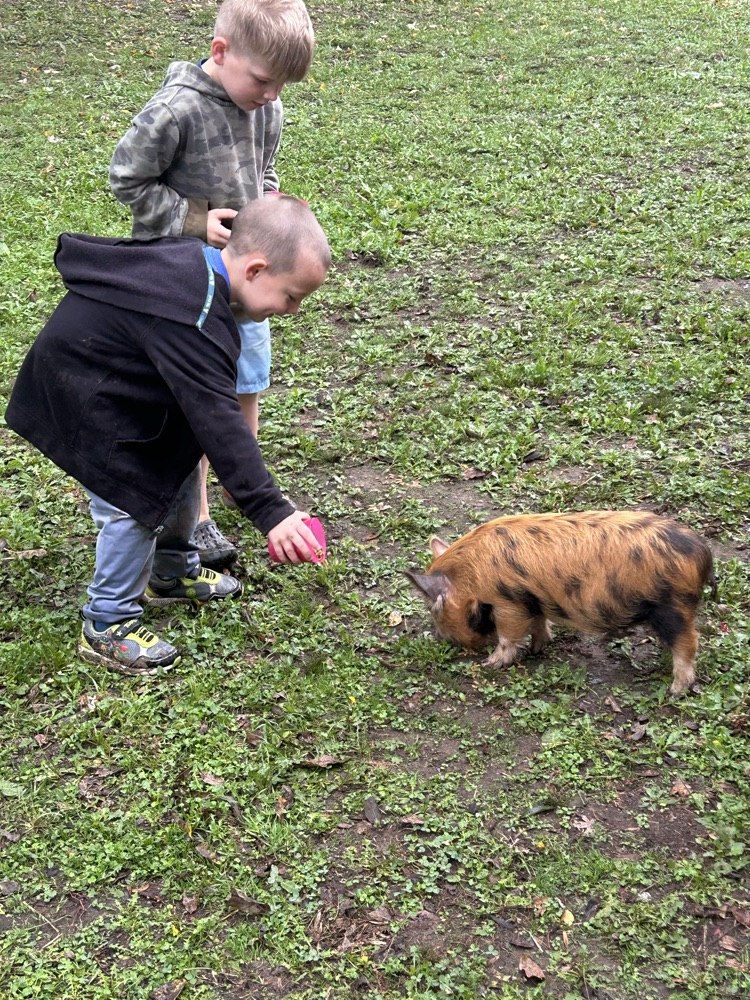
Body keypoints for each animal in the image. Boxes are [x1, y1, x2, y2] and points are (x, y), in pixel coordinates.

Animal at [406, 511, 716, 695]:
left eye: (436, 610)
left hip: (673, 606)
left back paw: (675, 690)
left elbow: (508, 636)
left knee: (690, 641)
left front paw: (490, 664)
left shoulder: (508, 604)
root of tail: (702, 552)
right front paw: (538, 649)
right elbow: (539, 623)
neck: (470, 575)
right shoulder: (533, 601)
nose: (442, 639)